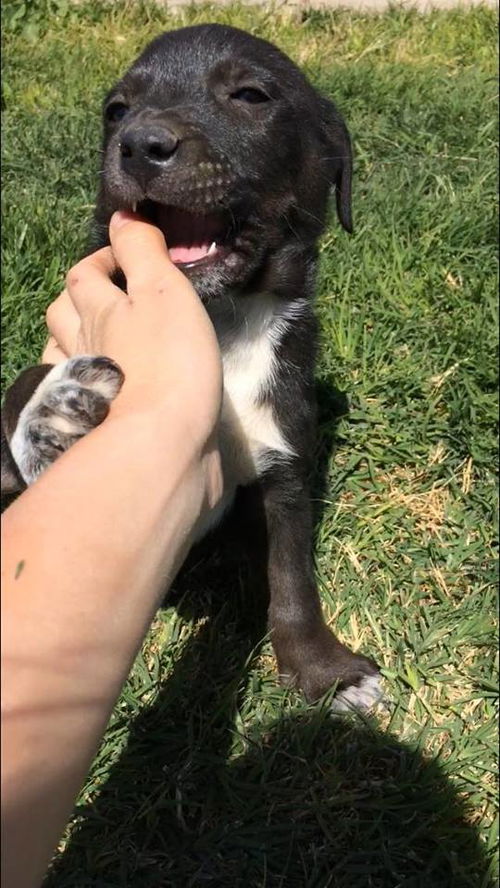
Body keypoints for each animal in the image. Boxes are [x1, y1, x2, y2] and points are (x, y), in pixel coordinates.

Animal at [1, 24, 380, 712]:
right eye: (116, 110)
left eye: (252, 95)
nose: (139, 145)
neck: (221, 320)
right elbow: (20, 386)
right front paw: (50, 415)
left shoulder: (285, 467)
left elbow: (292, 576)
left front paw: (322, 671)